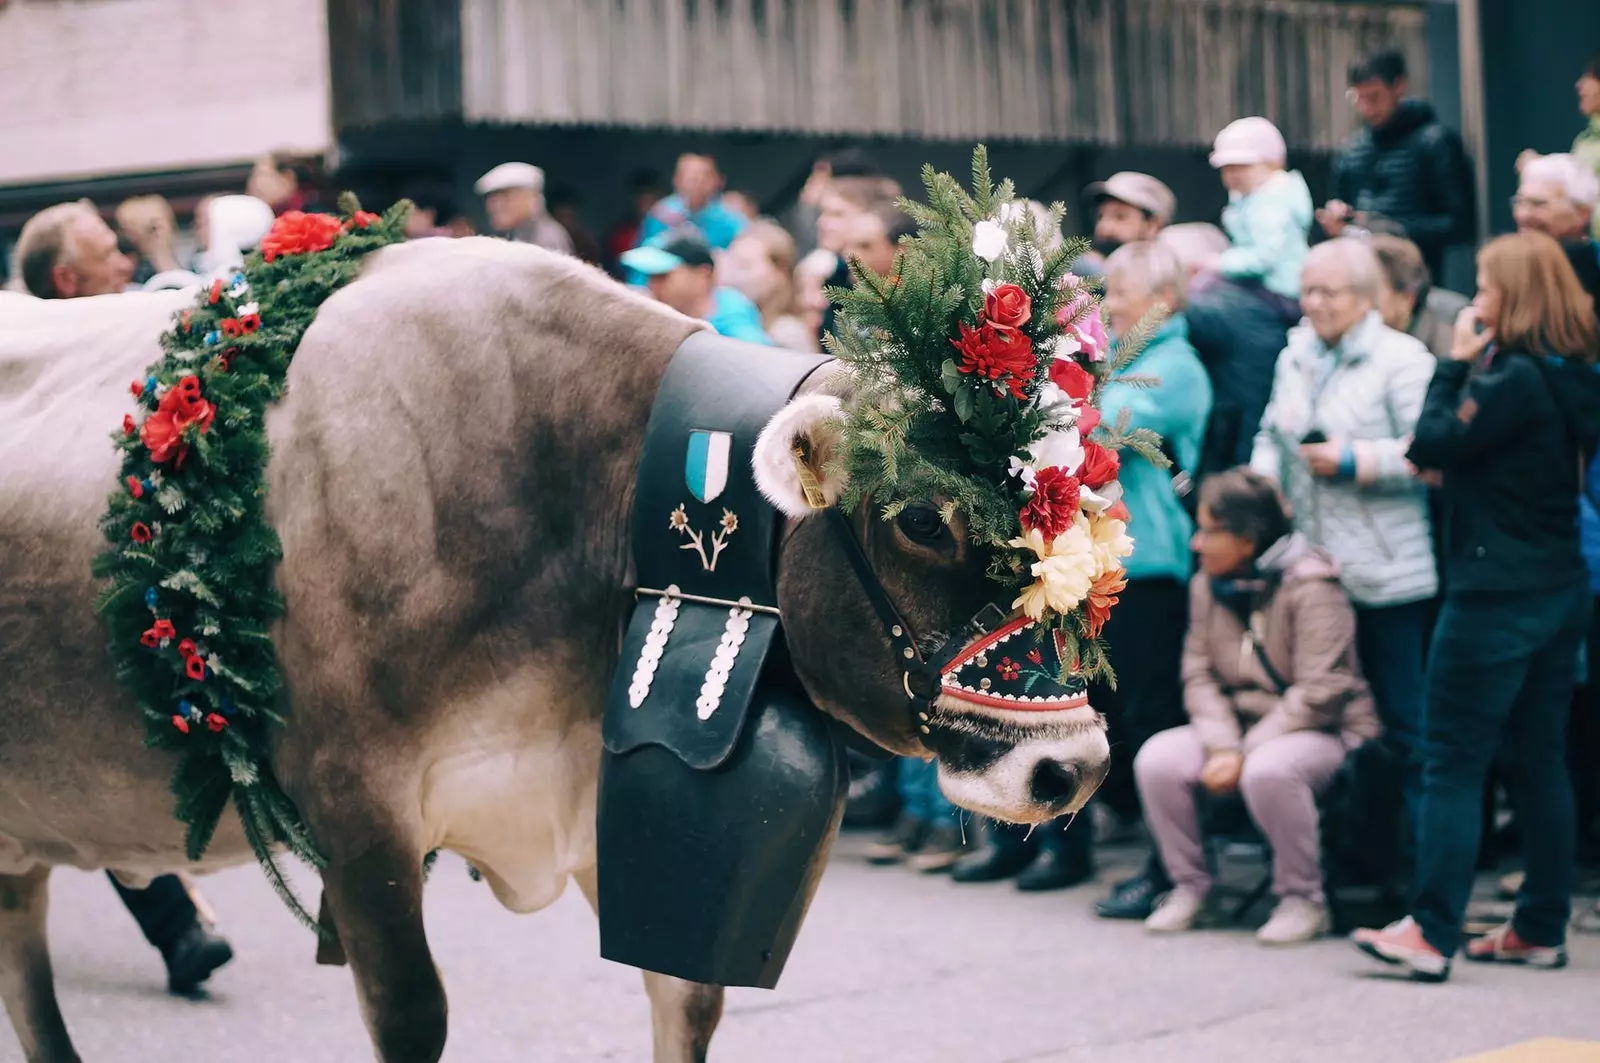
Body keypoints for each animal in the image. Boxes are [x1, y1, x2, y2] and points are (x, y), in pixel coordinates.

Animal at [0, 151, 1139, 1063]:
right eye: (921, 518)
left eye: (1083, 508)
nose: (1073, 766)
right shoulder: (358, 817)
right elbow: (413, 1015)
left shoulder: (610, 800)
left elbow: (686, 1003)